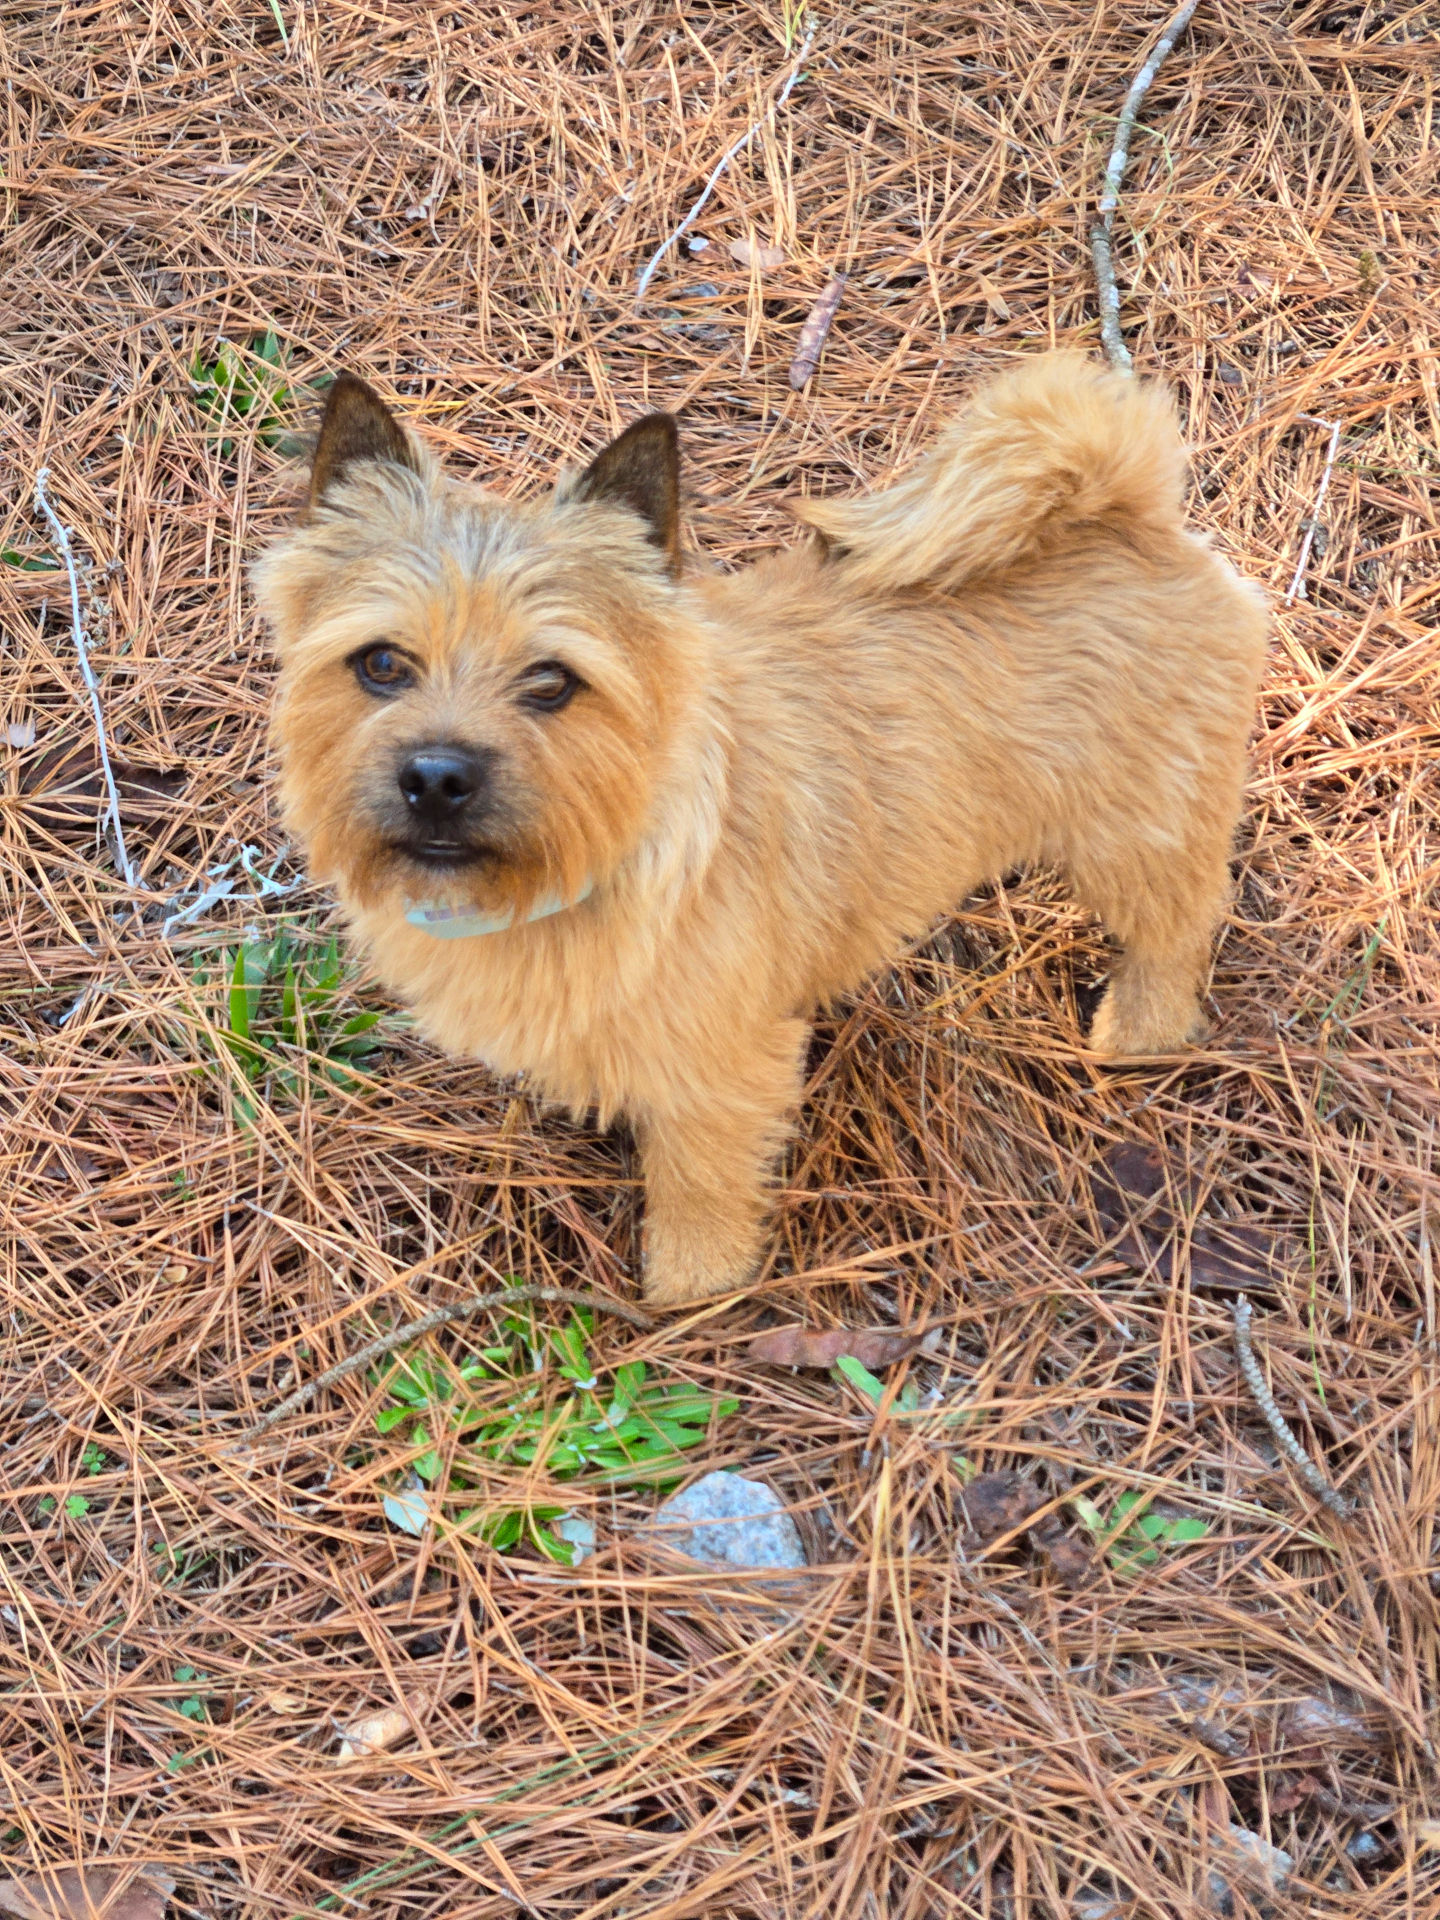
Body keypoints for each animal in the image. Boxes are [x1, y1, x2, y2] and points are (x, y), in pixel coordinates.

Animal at [254, 355, 1268, 1306]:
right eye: (382, 664)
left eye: (550, 681)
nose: (436, 777)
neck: (605, 854)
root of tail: (1126, 510)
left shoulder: (724, 1073)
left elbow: (699, 1186)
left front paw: (692, 1291)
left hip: (1136, 834)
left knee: (1182, 923)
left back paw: (1140, 1029)